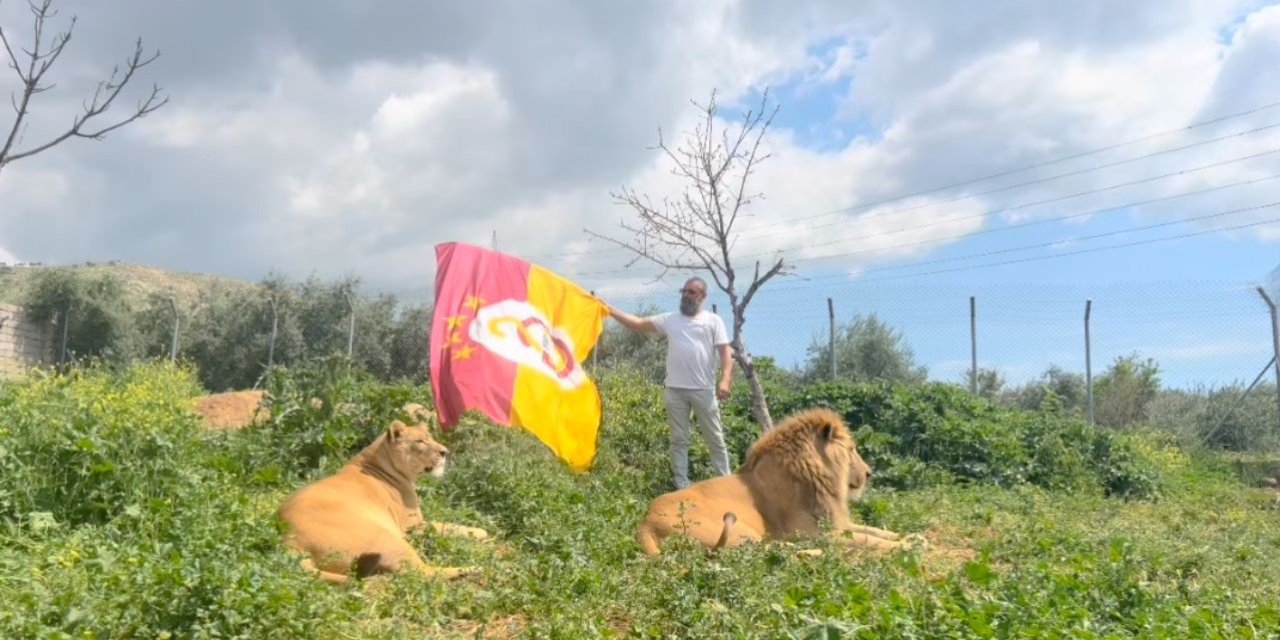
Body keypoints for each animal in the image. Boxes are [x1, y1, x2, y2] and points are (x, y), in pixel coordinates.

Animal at [277, 417, 486, 583]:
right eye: (420, 441)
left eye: (431, 437)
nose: (445, 452)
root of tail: (289, 542)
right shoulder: (413, 527)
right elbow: (445, 526)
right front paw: (481, 532)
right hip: (390, 537)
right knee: (424, 573)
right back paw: (471, 569)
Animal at [634, 409, 916, 555]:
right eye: (852, 449)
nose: (869, 473)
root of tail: (646, 524)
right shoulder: (817, 533)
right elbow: (869, 540)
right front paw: (906, 546)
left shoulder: (835, 523)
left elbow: (875, 530)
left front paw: (911, 536)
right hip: (740, 531)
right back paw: (814, 553)